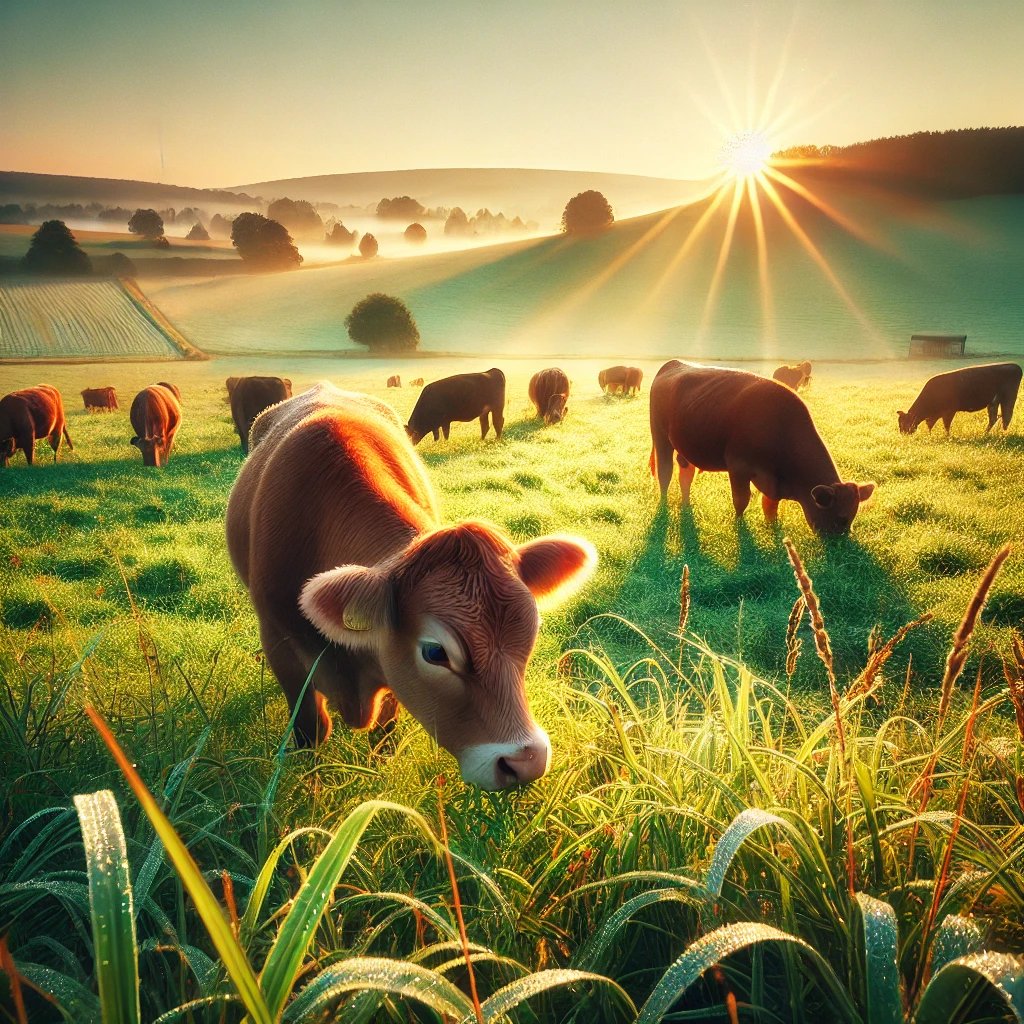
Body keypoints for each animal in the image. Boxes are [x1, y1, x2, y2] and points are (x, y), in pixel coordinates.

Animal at [225, 381, 597, 788]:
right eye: (435, 652)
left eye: (530, 633)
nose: (525, 761)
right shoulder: (282, 649)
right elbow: (311, 731)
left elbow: (384, 731)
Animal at [649, 360, 875, 536]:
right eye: (841, 518)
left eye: (852, 517)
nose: (841, 548)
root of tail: (673, 364)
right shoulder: (738, 467)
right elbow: (741, 500)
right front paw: (740, 526)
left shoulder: (774, 482)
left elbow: (770, 506)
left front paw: (772, 527)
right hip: (660, 437)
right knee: (664, 472)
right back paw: (663, 504)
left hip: (684, 447)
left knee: (686, 475)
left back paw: (686, 505)